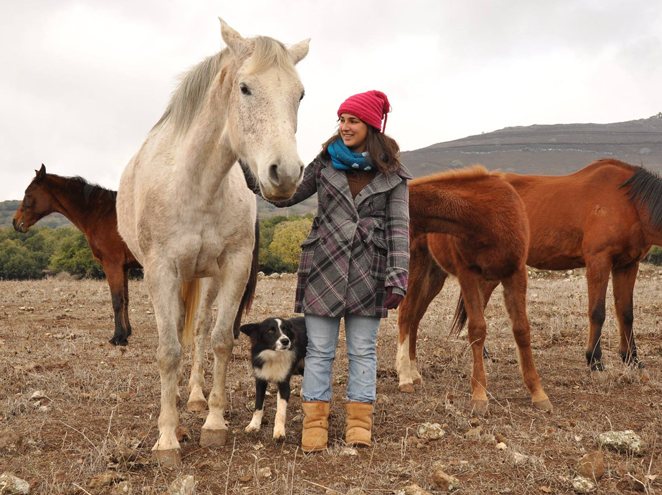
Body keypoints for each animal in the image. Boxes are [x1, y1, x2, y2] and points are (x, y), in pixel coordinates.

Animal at [116, 19, 308, 466]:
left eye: (300, 94)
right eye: (245, 88)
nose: (286, 173)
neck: (196, 183)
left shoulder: (235, 265)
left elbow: (220, 340)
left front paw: (215, 424)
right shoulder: (160, 272)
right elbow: (168, 351)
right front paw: (167, 438)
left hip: (208, 278)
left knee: (202, 330)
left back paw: (197, 397)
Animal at [400, 166, 556, 414]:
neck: (488, 220)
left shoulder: (515, 273)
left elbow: (522, 329)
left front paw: (538, 392)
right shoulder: (469, 276)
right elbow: (477, 329)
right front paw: (479, 395)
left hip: (434, 277)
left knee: (414, 317)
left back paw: (414, 373)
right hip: (417, 268)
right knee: (405, 316)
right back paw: (404, 377)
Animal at [454, 161, 662, 370]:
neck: (630, 203)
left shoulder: (627, 265)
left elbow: (626, 313)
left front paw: (631, 359)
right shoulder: (599, 262)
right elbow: (597, 312)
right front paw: (594, 360)